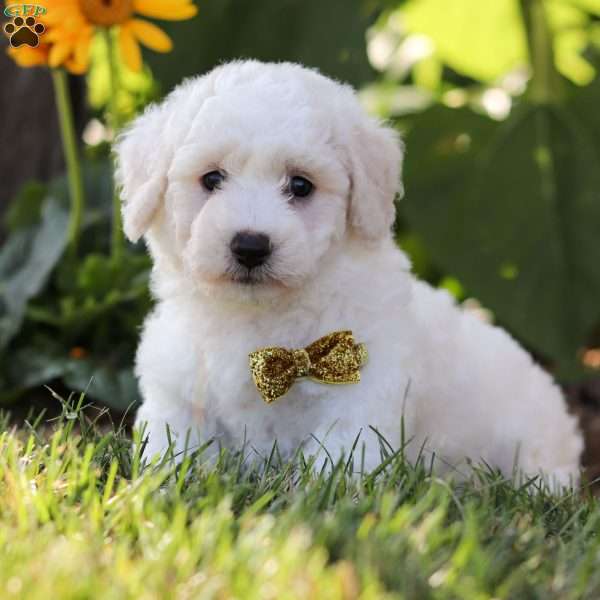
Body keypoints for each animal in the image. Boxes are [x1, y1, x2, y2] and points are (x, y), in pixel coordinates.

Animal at [115, 58, 584, 486]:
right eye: (211, 178)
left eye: (300, 185)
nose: (250, 245)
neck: (260, 318)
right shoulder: (177, 391)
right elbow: (176, 447)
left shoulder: (362, 401)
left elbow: (336, 465)